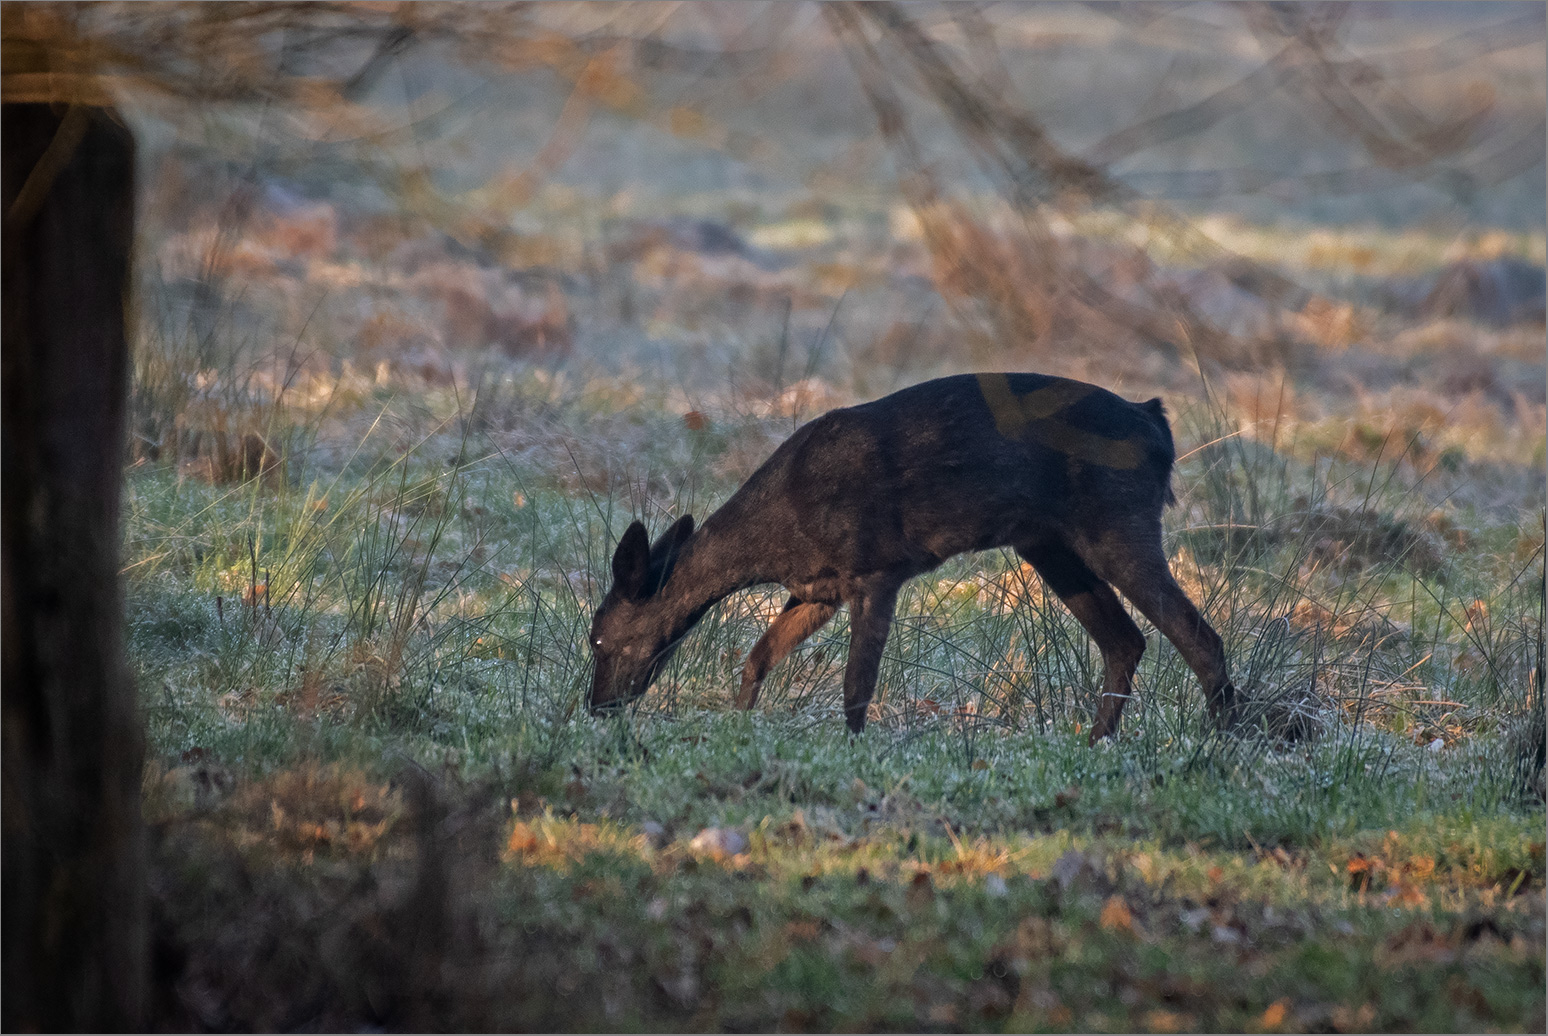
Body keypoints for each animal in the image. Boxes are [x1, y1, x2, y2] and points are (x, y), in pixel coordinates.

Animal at [585, 373, 1238, 743]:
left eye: (597, 639)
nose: (595, 706)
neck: (779, 527)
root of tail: (1156, 425)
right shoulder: (819, 589)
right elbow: (758, 655)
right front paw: (738, 726)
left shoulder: (877, 569)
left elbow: (857, 682)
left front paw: (852, 752)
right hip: (1048, 543)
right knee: (1126, 641)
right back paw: (1095, 742)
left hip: (1118, 521)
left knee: (1200, 636)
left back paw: (1224, 745)